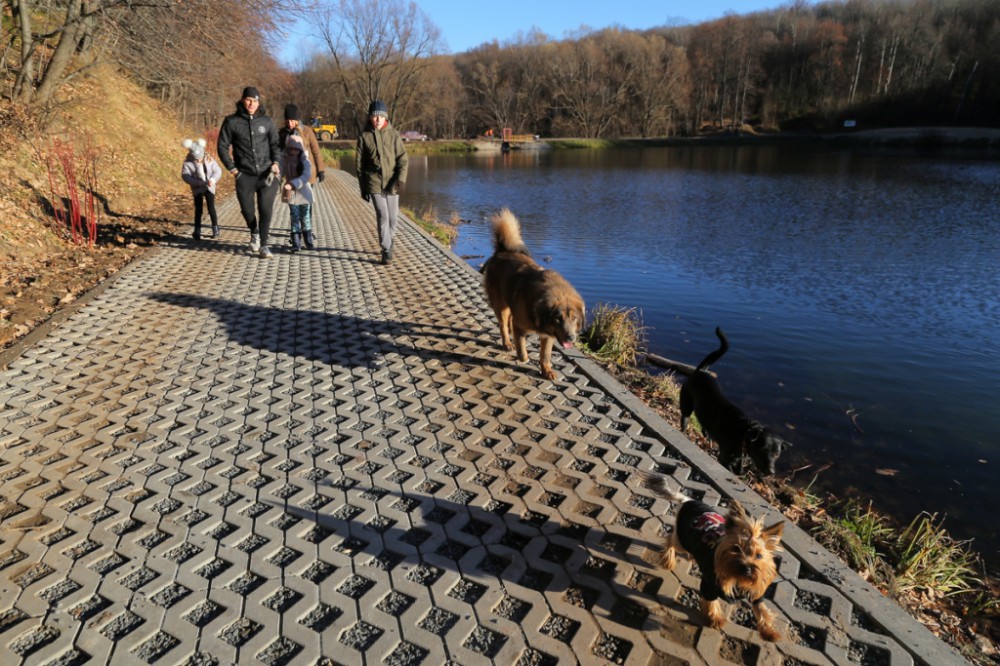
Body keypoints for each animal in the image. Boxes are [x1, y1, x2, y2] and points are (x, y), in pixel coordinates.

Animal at [484, 210, 584, 382]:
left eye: (574, 318)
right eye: (558, 319)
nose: (571, 338)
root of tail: (502, 251)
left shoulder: (548, 336)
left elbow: (545, 355)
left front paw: (546, 370)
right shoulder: (522, 326)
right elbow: (522, 348)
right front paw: (523, 357)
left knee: (509, 321)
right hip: (501, 305)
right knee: (503, 325)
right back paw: (507, 342)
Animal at [636, 470, 784, 640]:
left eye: (759, 556)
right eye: (736, 549)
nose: (747, 569)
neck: (737, 578)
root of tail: (689, 501)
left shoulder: (757, 593)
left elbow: (762, 610)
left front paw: (769, 632)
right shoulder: (709, 585)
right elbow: (711, 602)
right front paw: (715, 620)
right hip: (681, 540)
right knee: (670, 540)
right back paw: (668, 560)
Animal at [680, 326, 788, 472]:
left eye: (777, 454)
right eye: (763, 450)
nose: (771, 472)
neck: (743, 432)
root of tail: (701, 371)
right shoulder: (724, 459)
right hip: (686, 404)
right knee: (685, 418)